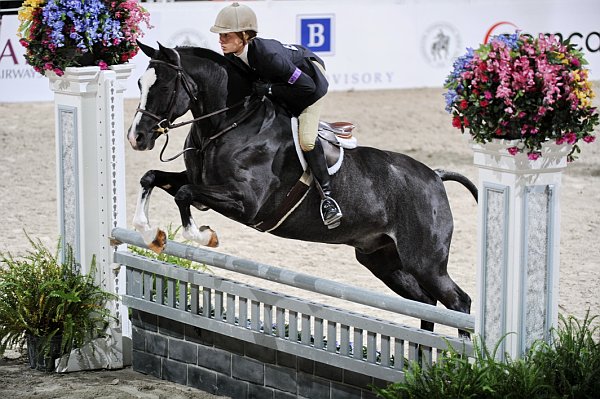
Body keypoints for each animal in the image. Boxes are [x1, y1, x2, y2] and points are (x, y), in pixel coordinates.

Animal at [126, 42, 478, 336]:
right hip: (383, 260)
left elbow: (184, 195)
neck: (231, 123)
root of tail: (435, 176)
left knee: (458, 303)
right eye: (140, 84)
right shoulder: (198, 182)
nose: (137, 138)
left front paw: (203, 236)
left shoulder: (246, 203)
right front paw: (150, 234)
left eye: (164, 86)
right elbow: (152, 178)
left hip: (425, 262)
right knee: (427, 304)